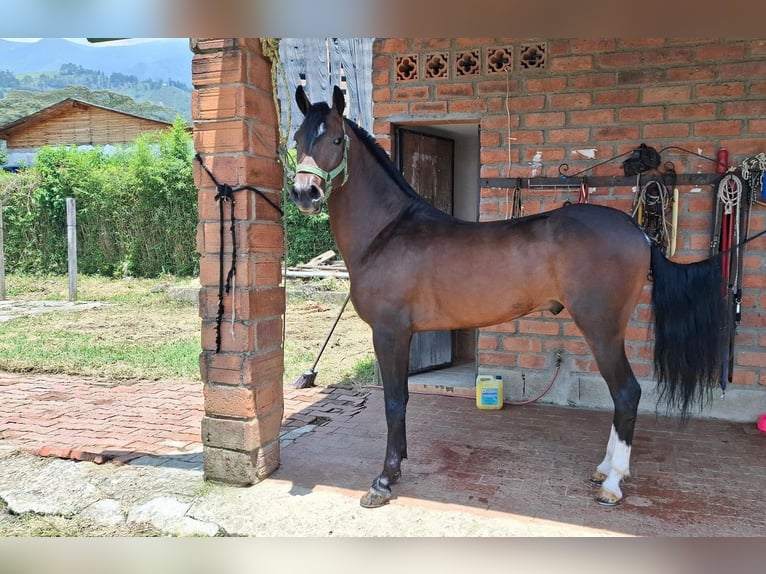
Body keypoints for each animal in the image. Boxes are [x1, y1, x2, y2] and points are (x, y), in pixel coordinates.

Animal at [288, 84, 728, 508]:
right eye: (297, 138)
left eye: (337, 139)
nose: (305, 193)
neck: (387, 233)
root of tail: (638, 232)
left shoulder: (390, 332)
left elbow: (395, 402)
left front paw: (384, 480)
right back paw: (603, 471)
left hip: (602, 328)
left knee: (627, 393)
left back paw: (613, 484)